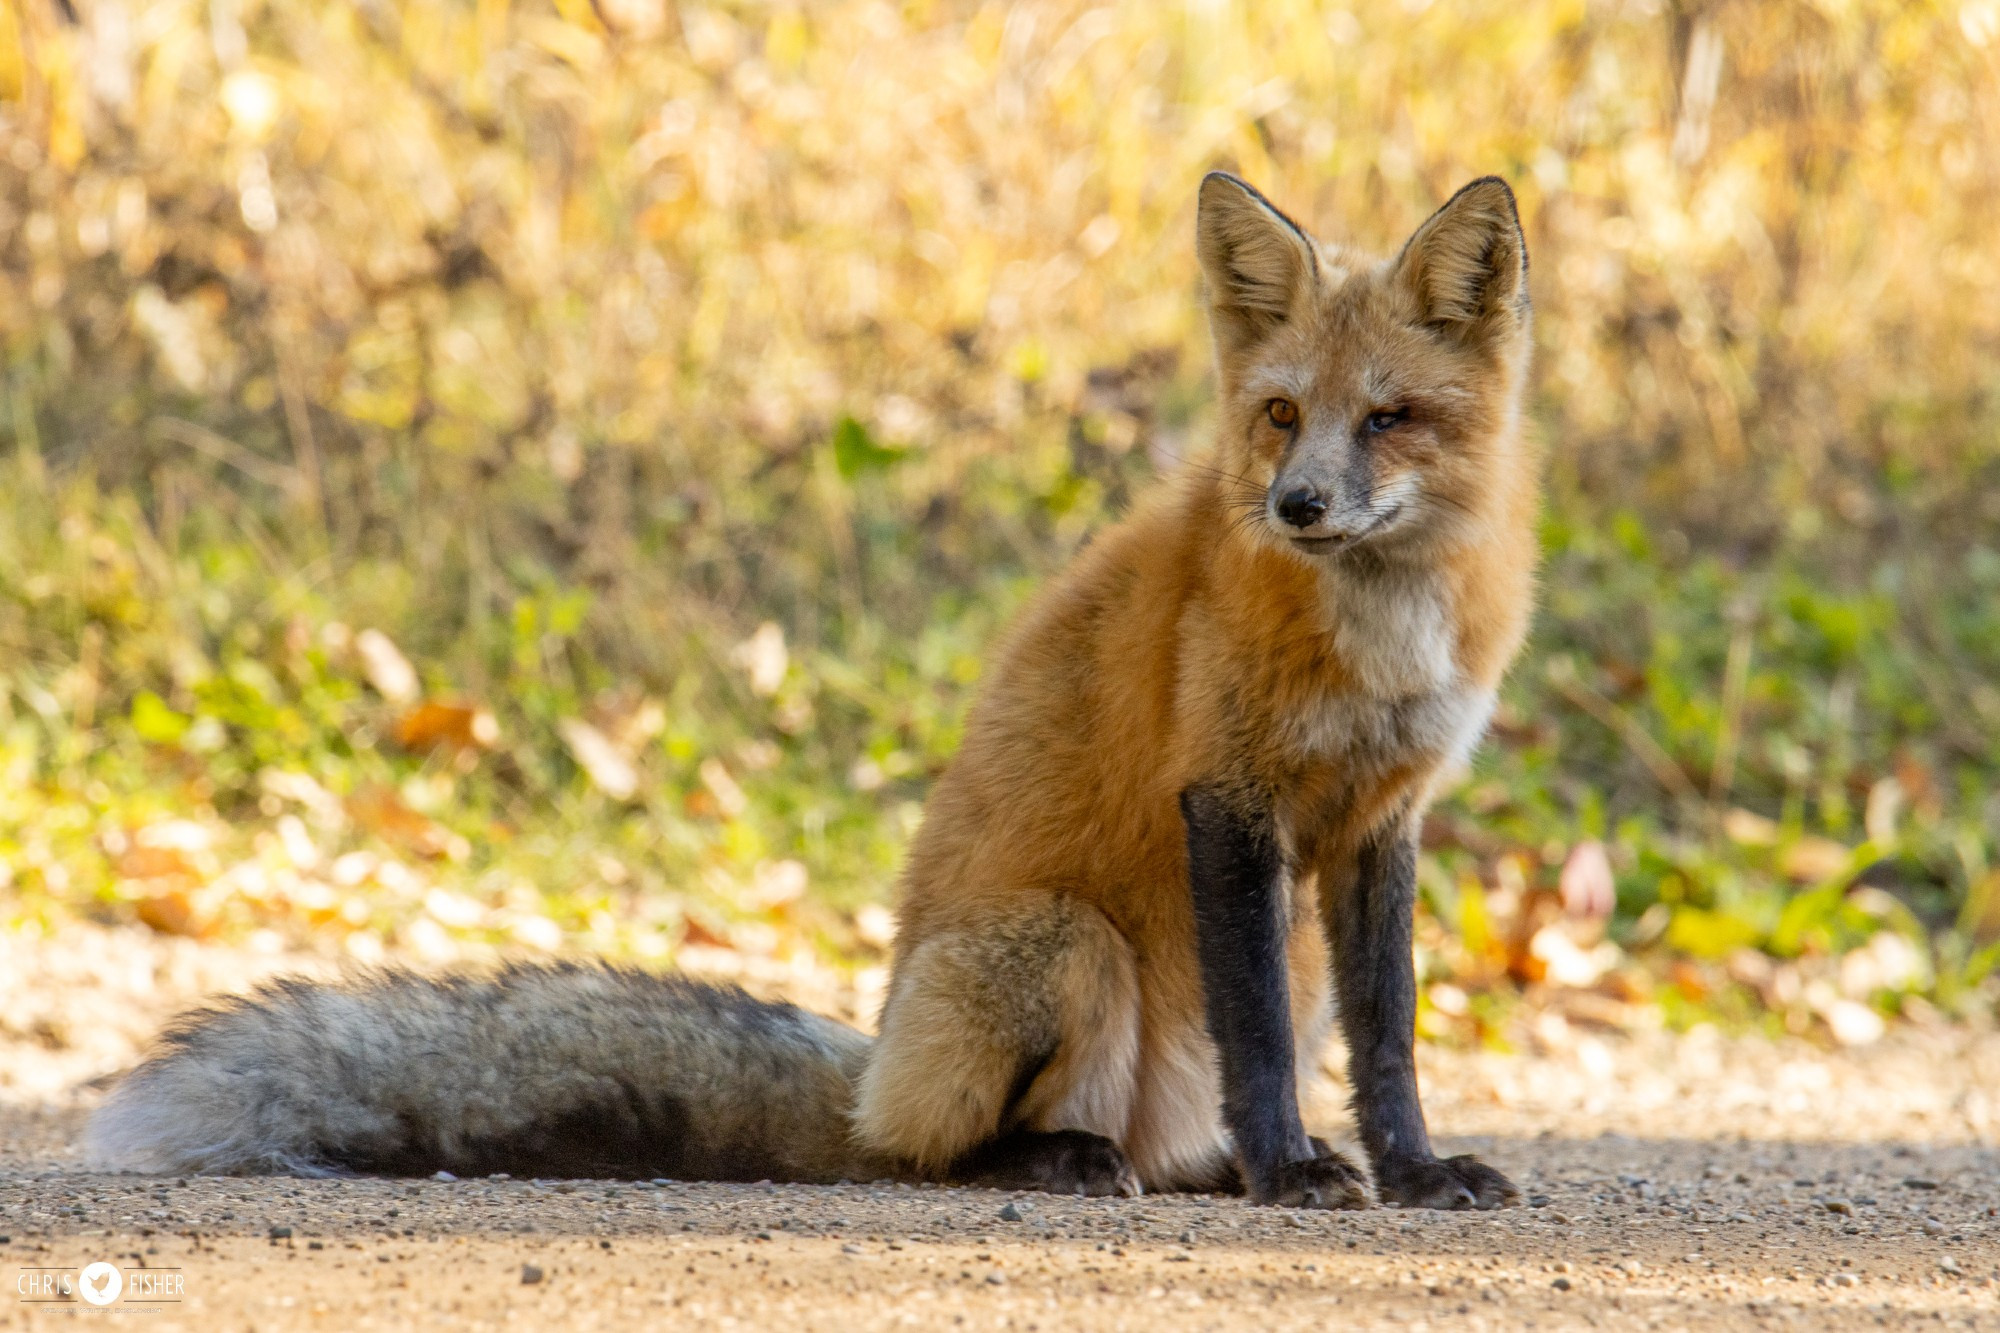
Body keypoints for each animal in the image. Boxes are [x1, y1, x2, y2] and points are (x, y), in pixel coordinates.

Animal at [86, 174, 1536, 1200]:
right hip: (1060, 945)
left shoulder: (1378, 821)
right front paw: (1294, 1171)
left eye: (1389, 418)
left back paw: (1201, 1168)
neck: (1380, 633)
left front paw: (1410, 1172)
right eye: (1282, 413)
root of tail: (870, 1068)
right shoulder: (1227, 801)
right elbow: (1269, 1048)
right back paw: (1057, 1160)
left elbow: (1389, 1039)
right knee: (925, 1153)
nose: (1295, 508)